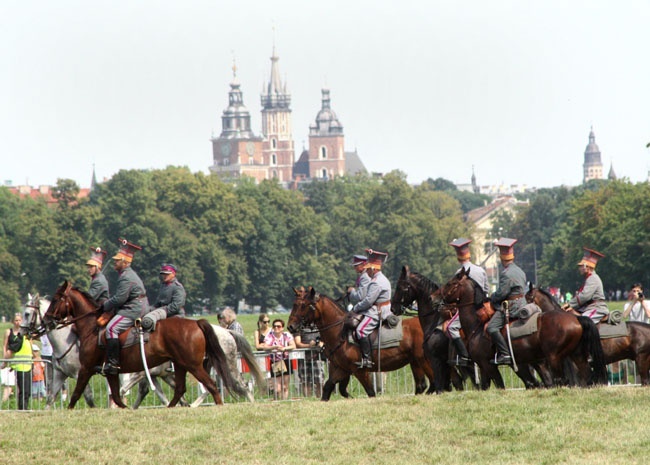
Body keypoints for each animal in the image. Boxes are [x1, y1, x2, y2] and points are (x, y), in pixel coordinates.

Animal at [288, 286, 436, 398]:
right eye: (294, 304)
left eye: (303, 305)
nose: (290, 327)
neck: (340, 333)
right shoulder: (341, 369)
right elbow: (329, 388)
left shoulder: (360, 371)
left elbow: (370, 392)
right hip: (415, 362)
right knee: (423, 385)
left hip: (424, 360)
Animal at [388, 266, 474, 394]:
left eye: (399, 286)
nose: (393, 308)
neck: (434, 320)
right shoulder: (446, 364)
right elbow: (451, 384)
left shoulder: (435, 360)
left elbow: (440, 385)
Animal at [440, 266, 608, 386]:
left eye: (451, 283)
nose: (438, 300)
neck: (477, 325)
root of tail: (577, 319)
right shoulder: (493, 366)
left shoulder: (487, 365)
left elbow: (500, 385)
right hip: (576, 355)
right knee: (585, 377)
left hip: (554, 357)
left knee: (561, 380)